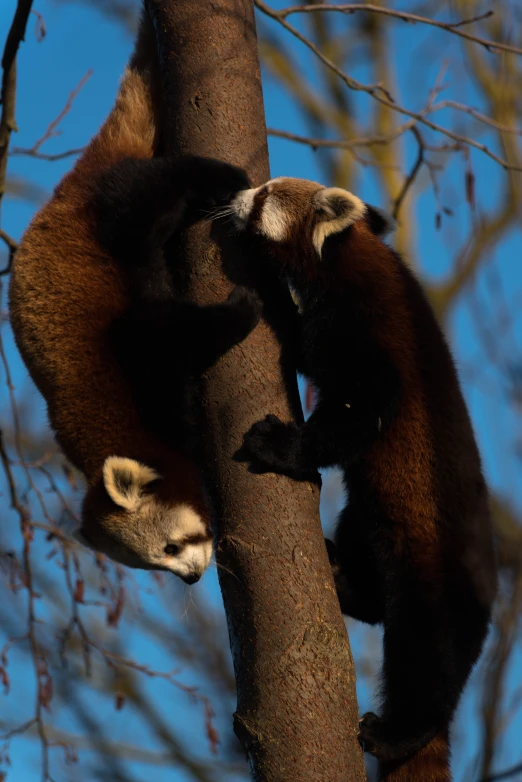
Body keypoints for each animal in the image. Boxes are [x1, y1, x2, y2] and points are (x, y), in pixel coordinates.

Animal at [7, 4, 258, 580]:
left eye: (171, 545)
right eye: (161, 563)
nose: (192, 578)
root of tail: (74, 177)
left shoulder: (136, 360)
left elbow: (162, 330)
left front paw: (239, 313)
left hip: (110, 211)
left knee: (155, 187)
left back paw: (220, 174)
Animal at [224, 179, 496, 776]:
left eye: (268, 193)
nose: (238, 195)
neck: (349, 260)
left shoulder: (366, 333)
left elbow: (359, 408)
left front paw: (281, 447)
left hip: (435, 577)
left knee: (427, 662)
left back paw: (397, 733)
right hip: (370, 517)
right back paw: (341, 574)